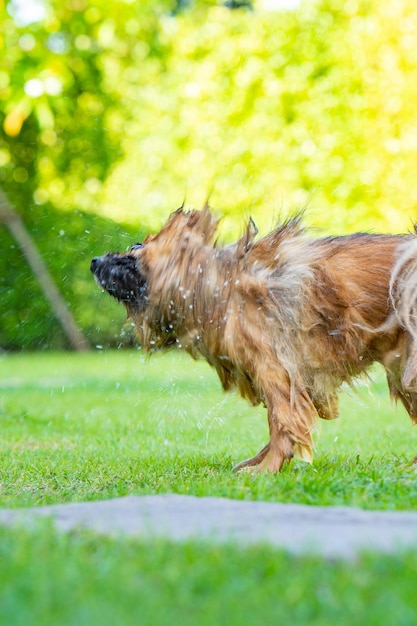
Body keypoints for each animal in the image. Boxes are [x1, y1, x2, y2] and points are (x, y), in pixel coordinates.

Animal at [90, 207, 416, 470]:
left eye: (135, 249)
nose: (93, 260)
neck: (220, 289)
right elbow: (281, 424)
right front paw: (263, 460)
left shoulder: (276, 372)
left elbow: (282, 422)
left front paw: (269, 468)